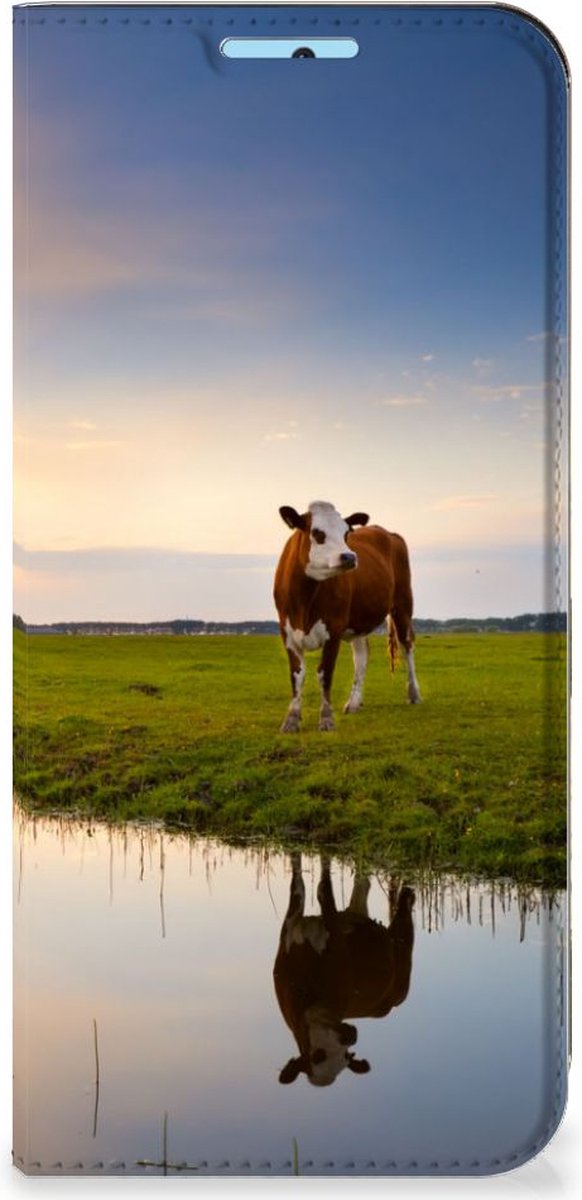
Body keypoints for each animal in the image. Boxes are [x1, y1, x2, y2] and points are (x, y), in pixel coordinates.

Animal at [273, 500, 421, 732]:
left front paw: (326, 719)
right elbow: (297, 675)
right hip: (358, 621)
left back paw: (414, 693)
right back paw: (353, 703)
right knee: (362, 655)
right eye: (317, 533)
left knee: (407, 644)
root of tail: (388, 532)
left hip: (403, 604)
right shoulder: (287, 632)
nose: (350, 557)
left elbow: (325, 673)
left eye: (346, 533)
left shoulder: (333, 629)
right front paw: (291, 719)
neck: (304, 600)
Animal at [273, 854, 415, 1087]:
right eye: (317, 1056)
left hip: (402, 960)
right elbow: (298, 883)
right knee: (362, 883)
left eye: (346, 1056)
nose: (351, 1036)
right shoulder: (290, 927)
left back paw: (408, 894)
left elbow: (323, 889)